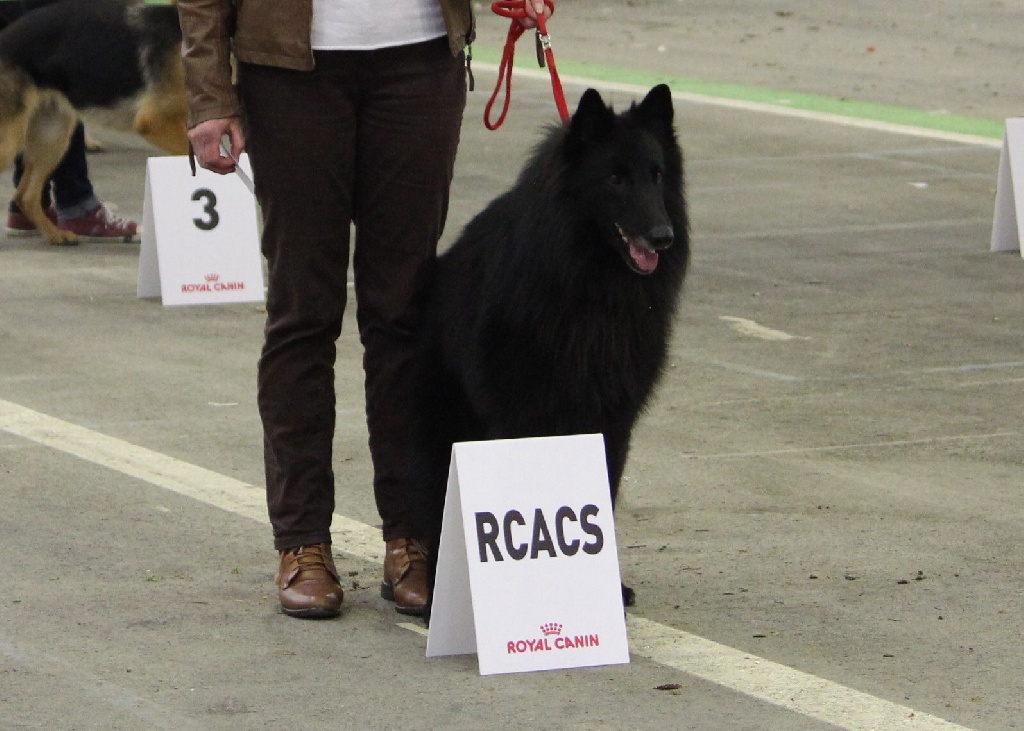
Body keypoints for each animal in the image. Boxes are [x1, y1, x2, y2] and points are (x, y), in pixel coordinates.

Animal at [413, 82, 688, 606]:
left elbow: (604, 495)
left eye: (657, 174)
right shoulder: (521, 417)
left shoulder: (611, 421)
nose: (662, 237)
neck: (589, 285)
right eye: (615, 178)